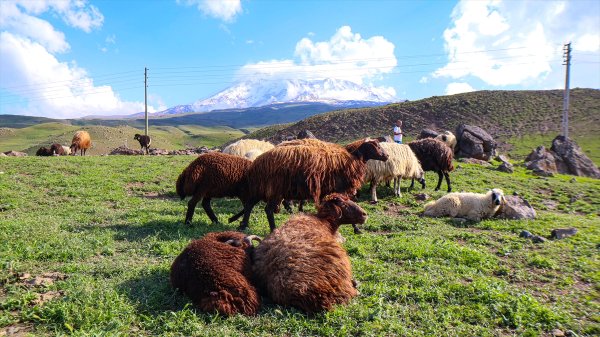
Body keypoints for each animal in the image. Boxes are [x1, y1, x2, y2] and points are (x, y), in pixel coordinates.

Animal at [230, 137, 390, 231]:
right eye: (376, 146)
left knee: (249, 205)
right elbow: (347, 206)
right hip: (275, 189)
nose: (387, 156)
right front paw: (356, 227)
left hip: (261, 188)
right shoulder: (341, 189)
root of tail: (257, 163)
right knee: (267, 210)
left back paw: (243, 225)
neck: (353, 158)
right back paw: (272, 229)